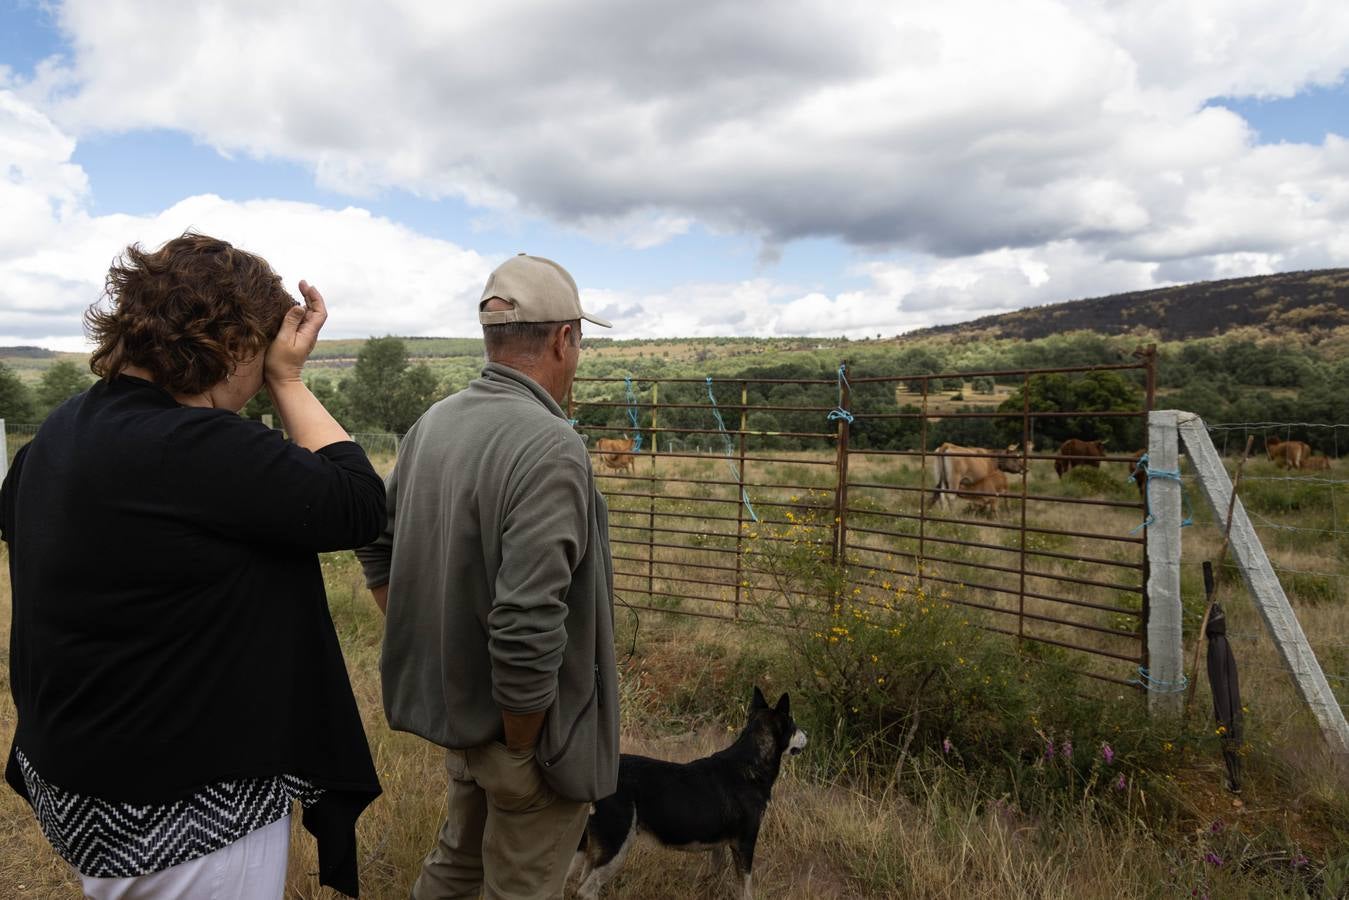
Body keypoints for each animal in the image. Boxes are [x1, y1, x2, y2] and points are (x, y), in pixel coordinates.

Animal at [566, 685, 804, 895]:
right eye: (793, 725)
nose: (806, 734)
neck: (751, 762)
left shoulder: (719, 845)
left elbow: (716, 874)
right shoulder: (744, 842)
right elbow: (746, 888)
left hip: (592, 847)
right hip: (617, 844)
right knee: (585, 889)